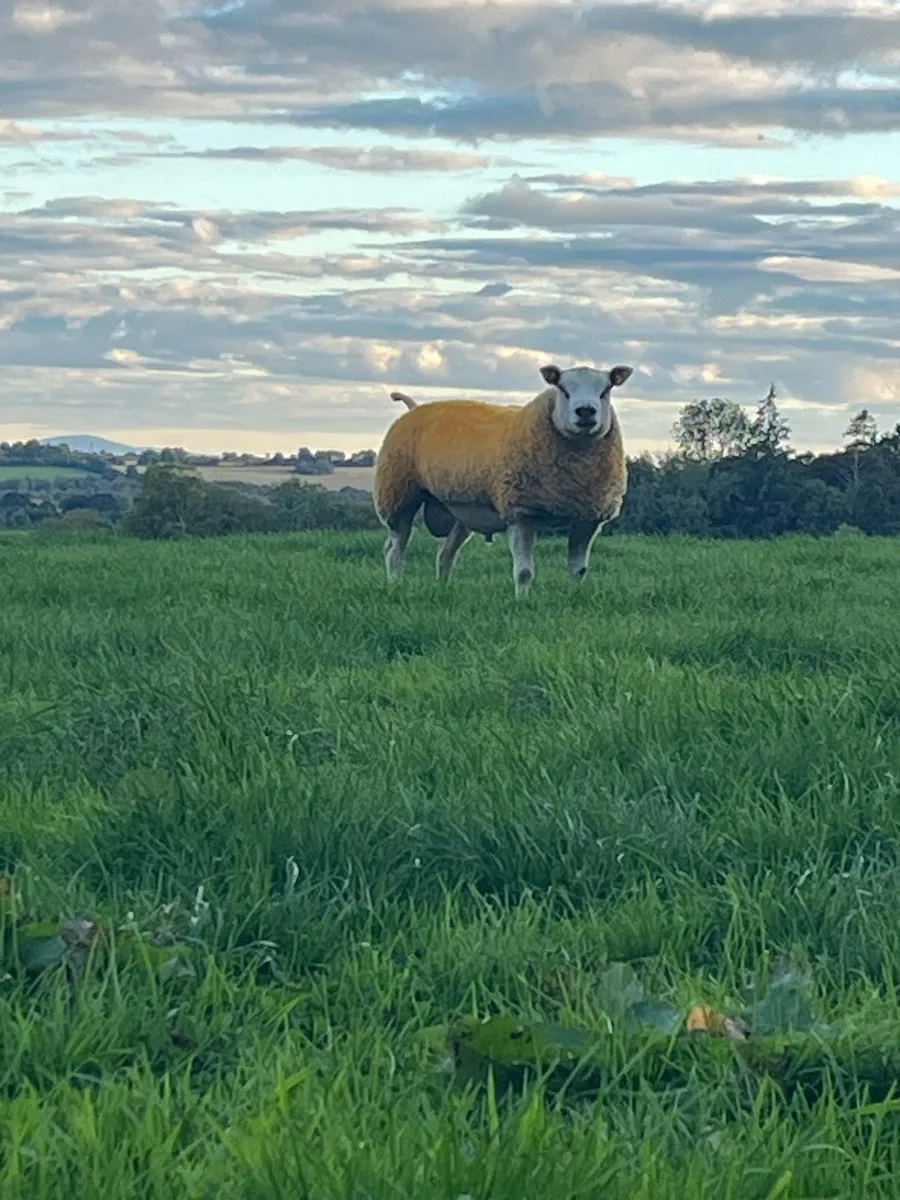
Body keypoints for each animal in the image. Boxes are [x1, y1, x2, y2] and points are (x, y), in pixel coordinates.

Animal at [373, 362, 633, 596]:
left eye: (606, 390)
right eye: (563, 388)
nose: (586, 411)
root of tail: (413, 408)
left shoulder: (587, 519)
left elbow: (578, 571)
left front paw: (573, 596)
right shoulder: (521, 514)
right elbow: (524, 572)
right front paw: (522, 602)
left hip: (460, 512)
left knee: (445, 554)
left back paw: (443, 589)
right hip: (398, 495)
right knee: (394, 549)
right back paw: (395, 585)